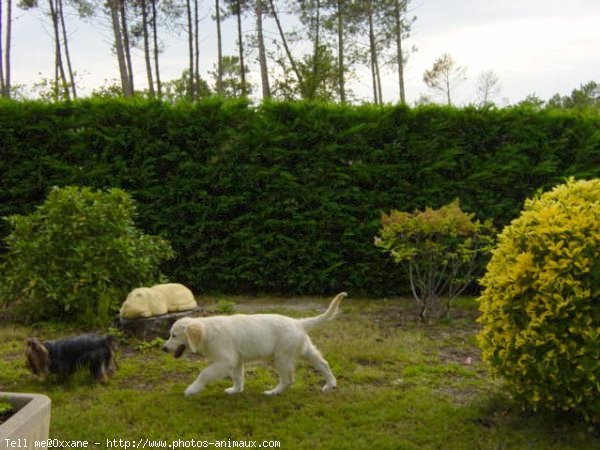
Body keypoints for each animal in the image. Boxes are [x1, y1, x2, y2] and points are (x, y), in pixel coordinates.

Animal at [162, 292, 346, 394]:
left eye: (174, 335)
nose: (163, 348)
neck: (208, 331)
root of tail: (298, 322)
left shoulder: (225, 360)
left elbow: (205, 373)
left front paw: (192, 389)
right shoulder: (236, 360)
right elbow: (238, 376)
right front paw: (236, 390)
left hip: (282, 357)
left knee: (288, 379)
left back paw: (274, 392)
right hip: (304, 349)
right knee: (323, 364)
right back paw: (331, 385)